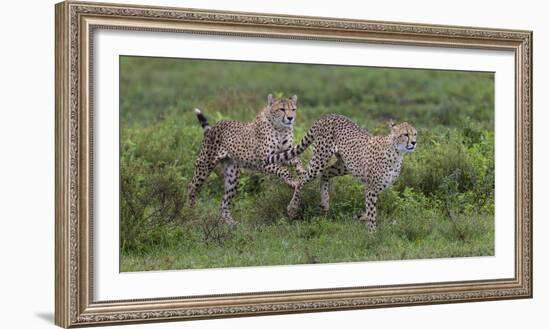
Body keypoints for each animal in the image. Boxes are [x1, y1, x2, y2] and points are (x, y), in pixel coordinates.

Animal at [188, 93, 304, 224]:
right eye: (282, 109)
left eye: (293, 109)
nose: (290, 118)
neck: (280, 128)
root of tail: (215, 125)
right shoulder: (263, 161)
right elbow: (283, 170)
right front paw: (293, 181)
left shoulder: (286, 153)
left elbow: (298, 161)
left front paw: (302, 173)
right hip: (204, 165)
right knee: (191, 187)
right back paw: (191, 212)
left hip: (232, 176)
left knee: (224, 202)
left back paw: (230, 223)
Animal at [268, 114, 418, 232]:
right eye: (405, 134)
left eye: (415, 134)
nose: (414, 142)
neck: (397, 152)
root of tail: (328, 115)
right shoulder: (371, 188)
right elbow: (372, 212)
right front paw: (372, 234)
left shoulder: (377, 187)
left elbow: (371, 209)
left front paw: (361, 217)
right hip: (320, 159)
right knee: (302, 179)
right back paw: (292, 208)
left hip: (345, 165)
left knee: (325, 173)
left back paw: (325, 201)